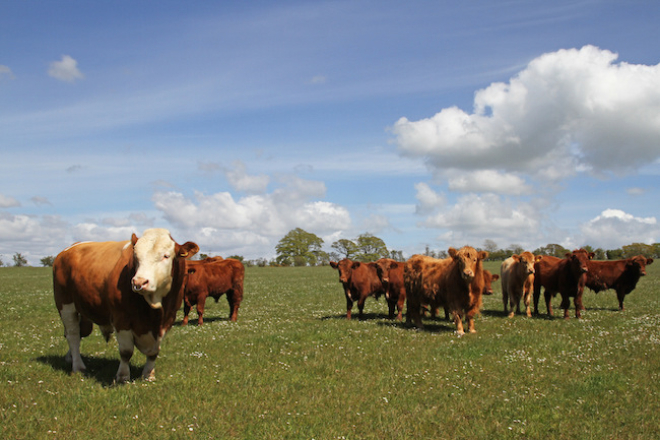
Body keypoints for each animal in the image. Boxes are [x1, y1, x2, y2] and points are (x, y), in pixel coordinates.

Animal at [52, 229, 199, 384]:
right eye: (136, 256)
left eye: (166, 255)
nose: (139, 282)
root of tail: (68, 249)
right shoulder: (121, 318)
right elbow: (126, 352)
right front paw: (123, 376)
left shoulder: (168, 319)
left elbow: (154, 352)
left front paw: (149, 374)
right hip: (66, 305)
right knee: (73, 335)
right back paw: (78, 367)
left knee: (79, 333)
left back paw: (69, 358)